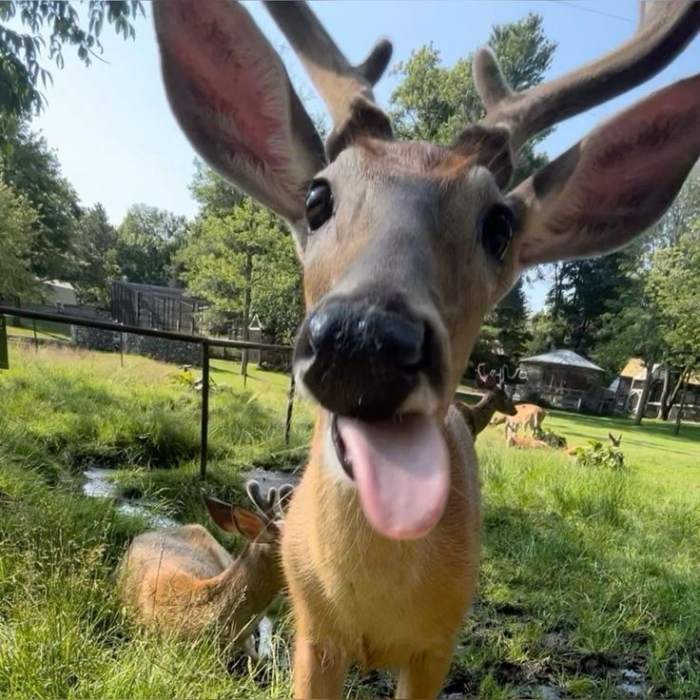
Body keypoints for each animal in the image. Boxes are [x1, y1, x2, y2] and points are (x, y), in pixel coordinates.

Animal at [152, 1, 700, 696]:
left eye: (499, 225)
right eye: (316, 197)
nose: (365, 339)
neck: (372, 606)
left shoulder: (438, 643)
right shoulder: (312, 631)